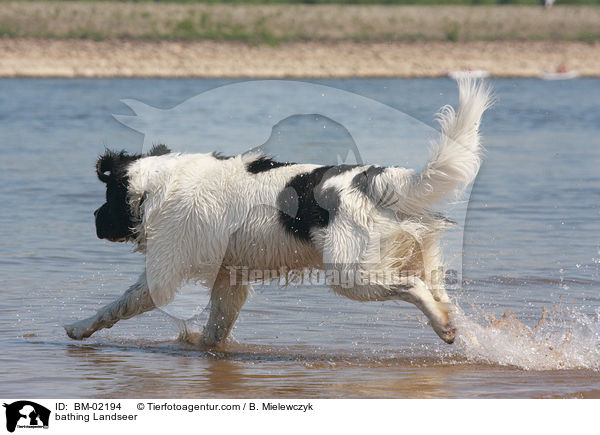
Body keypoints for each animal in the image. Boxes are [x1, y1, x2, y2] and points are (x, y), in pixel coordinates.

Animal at [65, 79, 490, 348]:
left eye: (108, 197)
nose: (94, 219)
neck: (156, 186)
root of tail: (369, 181)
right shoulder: (229, 280)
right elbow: (215, 331)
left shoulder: (165, 272)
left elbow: (117, 305)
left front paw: (78, 328)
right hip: (407, 255)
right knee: (437, 290)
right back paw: (452, 325)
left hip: (351, 274)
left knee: (412, 287)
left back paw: (443, 327)